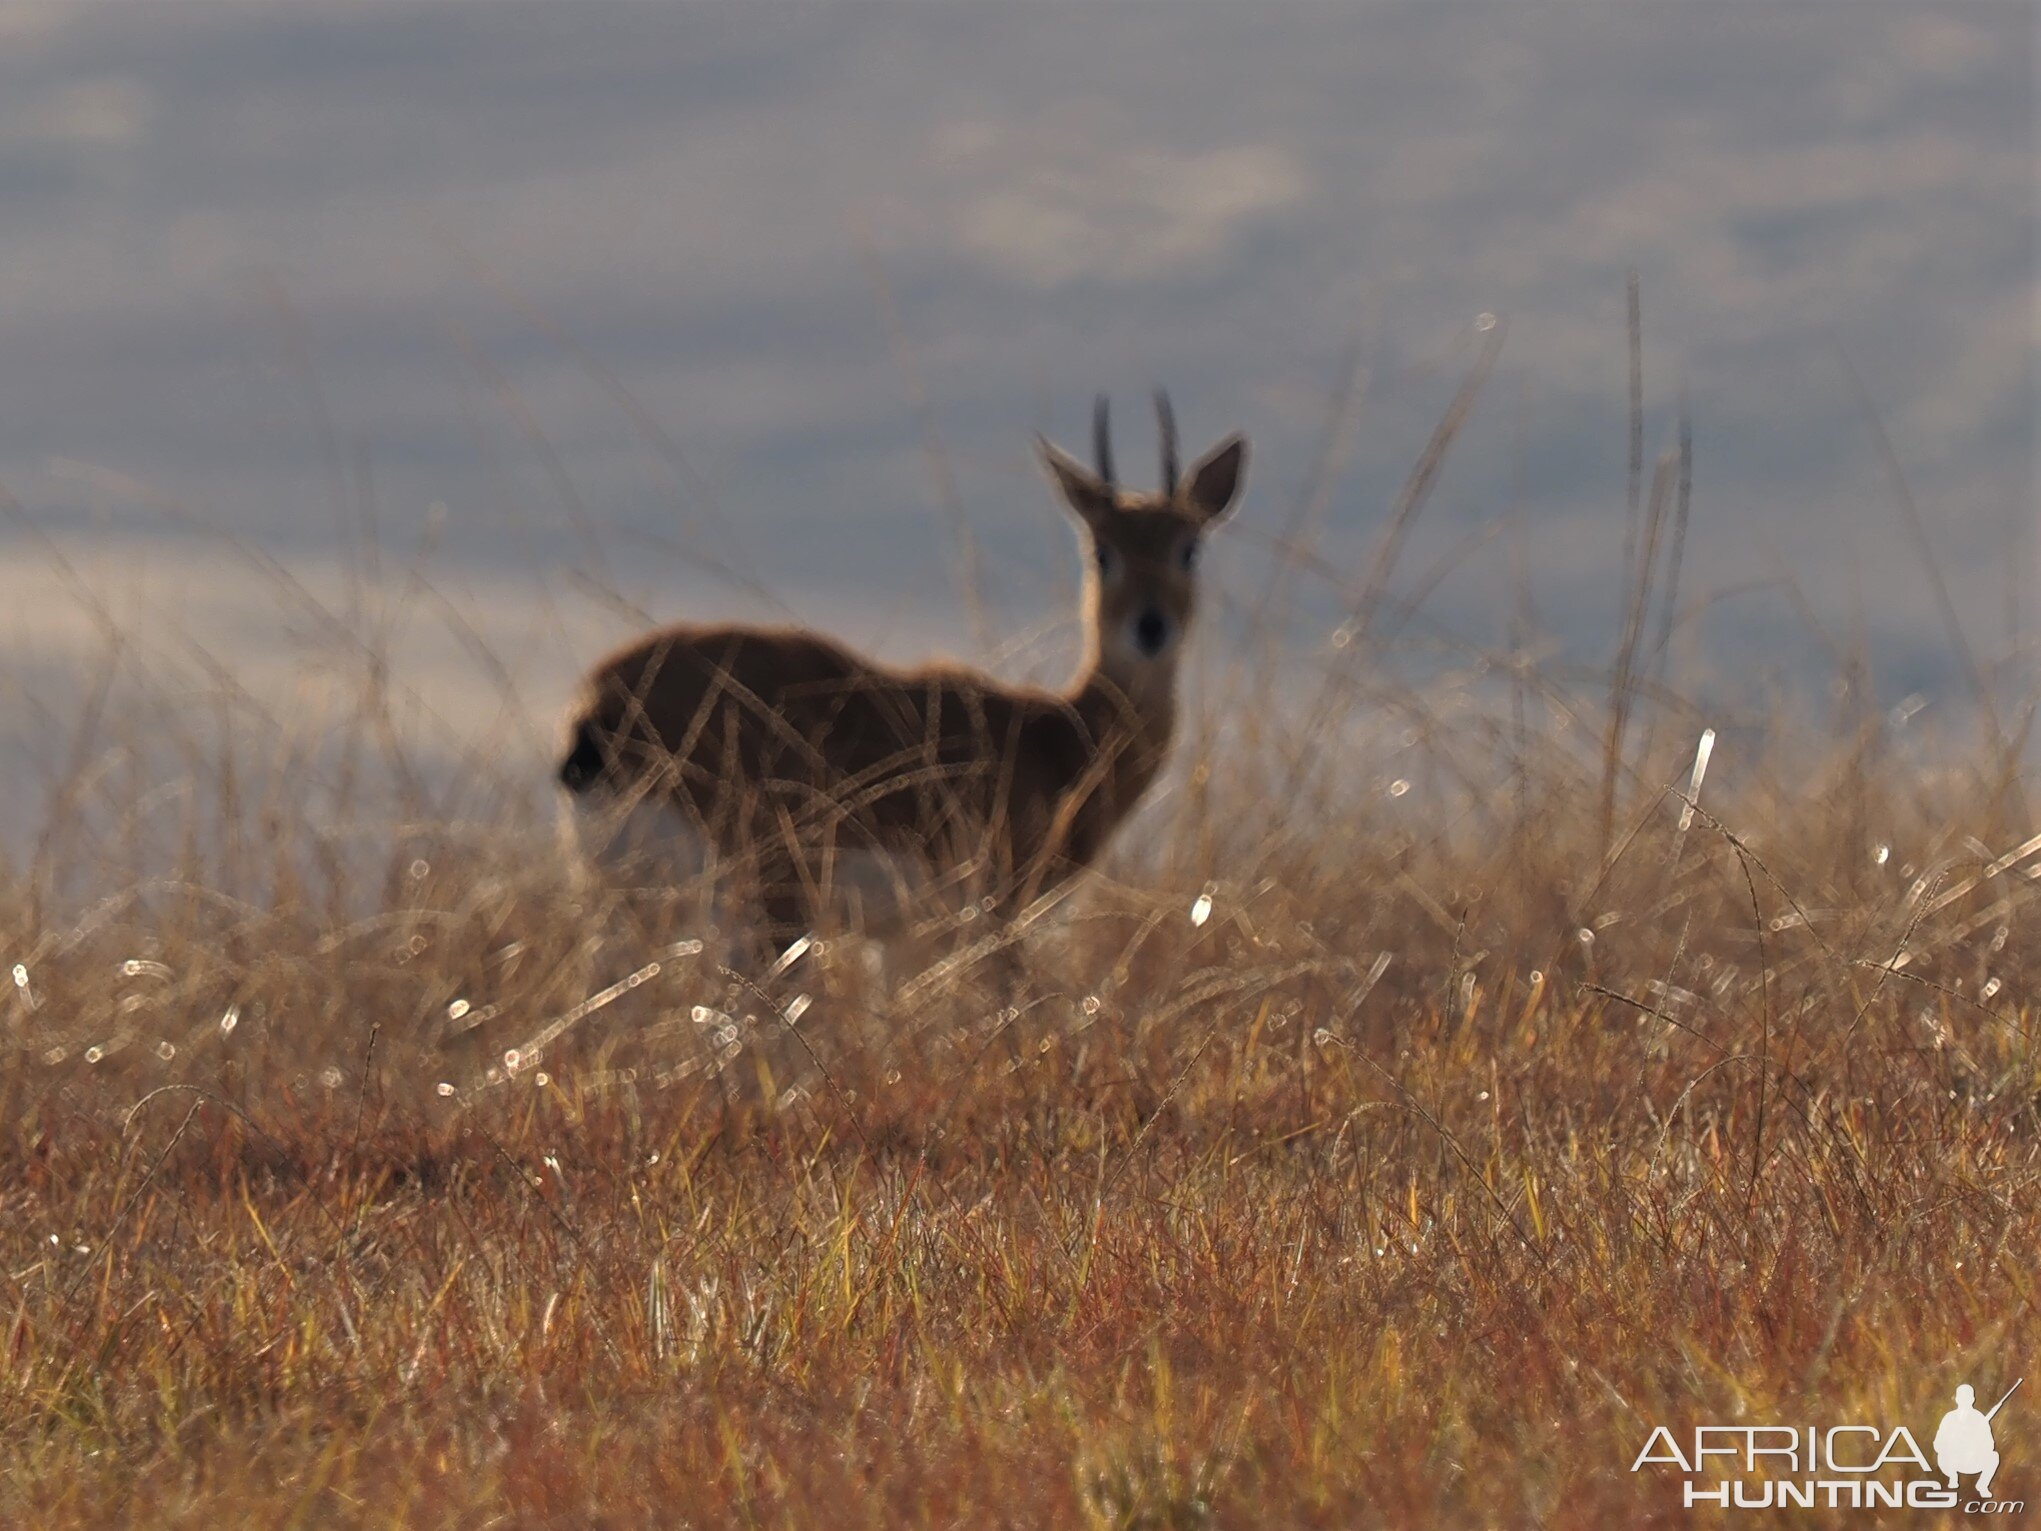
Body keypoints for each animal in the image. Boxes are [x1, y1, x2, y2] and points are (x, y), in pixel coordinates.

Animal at [567, 396, 1249, 959]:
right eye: (1102, 552)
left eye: (1188, 548)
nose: (1150, 627)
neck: (1055, 736)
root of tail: (601, 707)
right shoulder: (987, 921)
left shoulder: (902, 945)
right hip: (765, 909)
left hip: (634, 915)